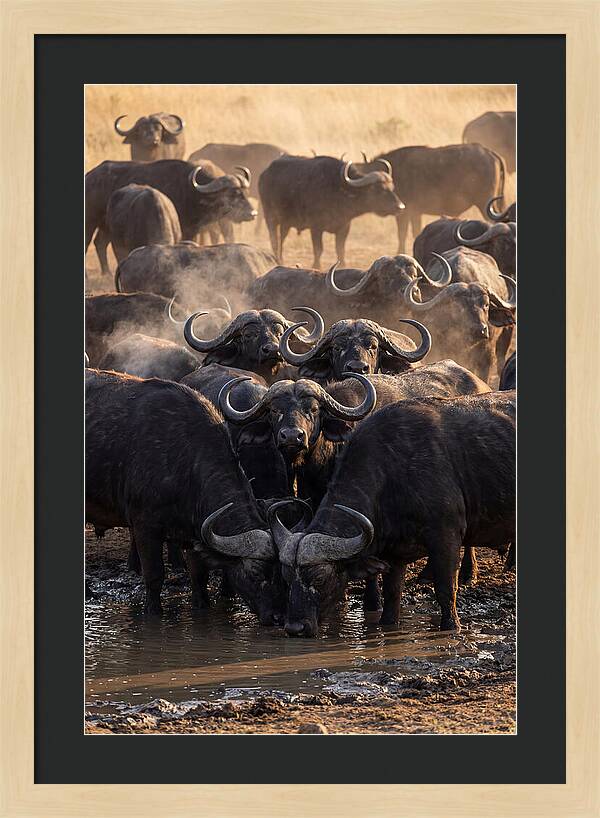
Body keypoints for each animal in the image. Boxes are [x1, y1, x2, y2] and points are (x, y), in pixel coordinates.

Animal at [86, 369, 278, 621]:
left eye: (281, 573)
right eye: (256, 573)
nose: (277, 616)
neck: (185, 460)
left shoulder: (193, 531)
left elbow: (199, 576)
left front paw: (201, 605)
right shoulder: (145, 527)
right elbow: (155, 576)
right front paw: (153, 612)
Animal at [259, 155, 404, 268]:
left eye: (391, 187)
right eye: (378, 189)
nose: (400, 207)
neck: (338, 190)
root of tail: (264, 174)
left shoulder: (344, 227)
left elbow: (340, 249)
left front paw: (342, 265)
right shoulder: (316, 228)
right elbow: (318, 249)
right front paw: (316, 266)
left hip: (286, 223)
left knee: (281, 239)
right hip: (270, 217)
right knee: (274, 240)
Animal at [270, 390, 515, 635]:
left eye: (320, 578)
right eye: (286, 577)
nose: (295, 628)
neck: (393, 473)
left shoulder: (446, 536)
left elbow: (446, 590)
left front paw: (451, 626)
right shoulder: (394, 554)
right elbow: (391, 596)